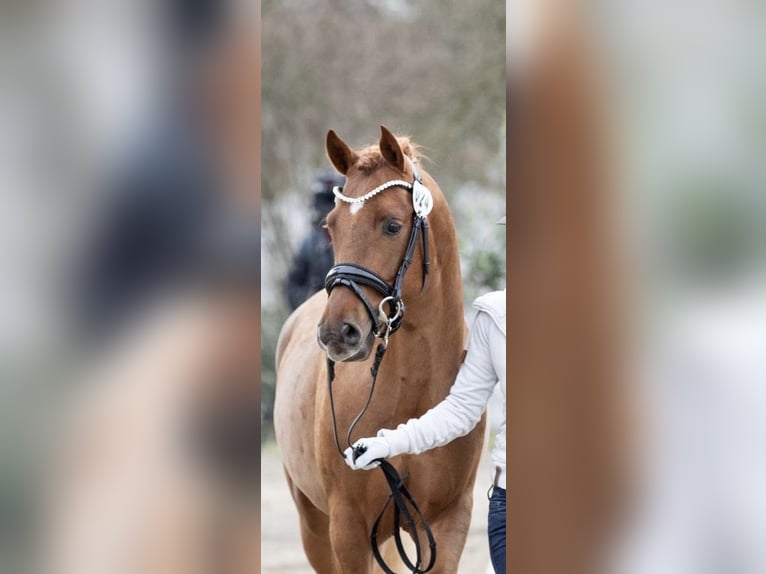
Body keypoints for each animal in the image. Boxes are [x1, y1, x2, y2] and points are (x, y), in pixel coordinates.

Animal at [272, 127, 486, 574]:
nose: (338, 333)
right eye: (331, 225)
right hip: (313, 526)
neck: (411, 388)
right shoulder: (348, 530)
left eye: (392, 225)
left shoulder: (447, 524)